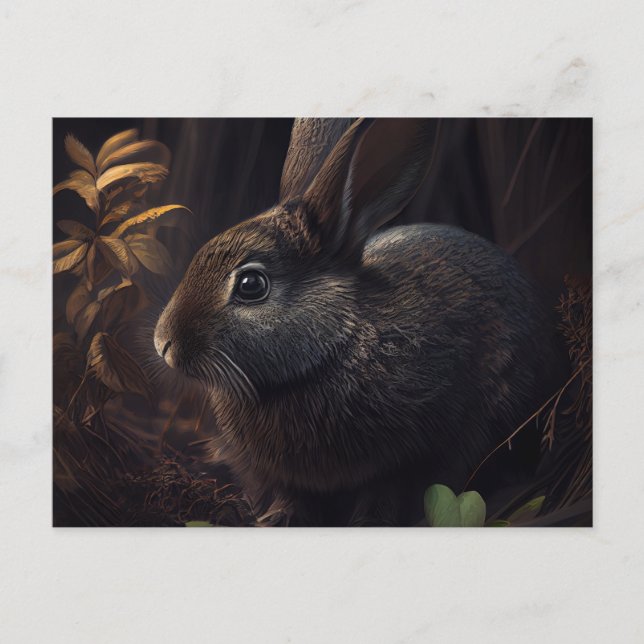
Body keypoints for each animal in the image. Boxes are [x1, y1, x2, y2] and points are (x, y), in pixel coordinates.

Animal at [154, 118, 557, 526]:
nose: (163, 344)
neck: (337, 346)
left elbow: (389, 496)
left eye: (251, 285)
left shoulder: (418, 453)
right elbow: (290, 496)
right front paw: (275, 519)